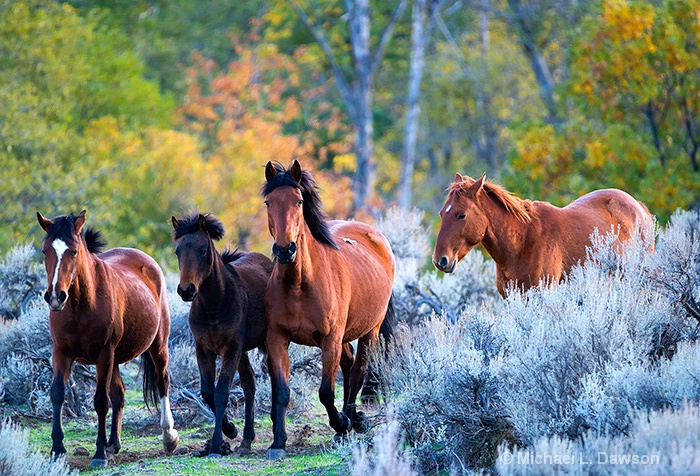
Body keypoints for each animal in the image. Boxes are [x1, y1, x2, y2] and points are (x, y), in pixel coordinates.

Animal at [35, 211, 178, 468]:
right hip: (117, 358)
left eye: (73, 251)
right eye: (44, 251)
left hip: (157, 345)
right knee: (119, 394)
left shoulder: (104, 354)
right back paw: (114, 445)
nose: (55, 296)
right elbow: (58, 394)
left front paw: (99, 454)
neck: (80, 306)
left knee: (162, 382)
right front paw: (57, 450)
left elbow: (101, 401)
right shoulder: (61, 352)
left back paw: (168, 437)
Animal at [171, 213, 274, 458]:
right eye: (178, 251)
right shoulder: (204, 349)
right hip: (243, 352)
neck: (213, 305)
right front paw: (231, 430)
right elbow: (208, 392)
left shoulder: (230, 348)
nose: (186, 290)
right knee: (249, 383)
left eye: (202, 250)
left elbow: (221, 392)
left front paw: (217, 444)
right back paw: (246, 440)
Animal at [262, 162, 396, 460]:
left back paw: (350, 421)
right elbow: (282, 391)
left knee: (358, 370)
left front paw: (343, 423)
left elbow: (325, 392)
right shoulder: (277, 338)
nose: (285, 249)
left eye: (299, 201)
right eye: (268, 202)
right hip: (345, 335)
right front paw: (278, 443)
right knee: (348, 365)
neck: (300, 283)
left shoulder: (329, 339)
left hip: (370, 331)